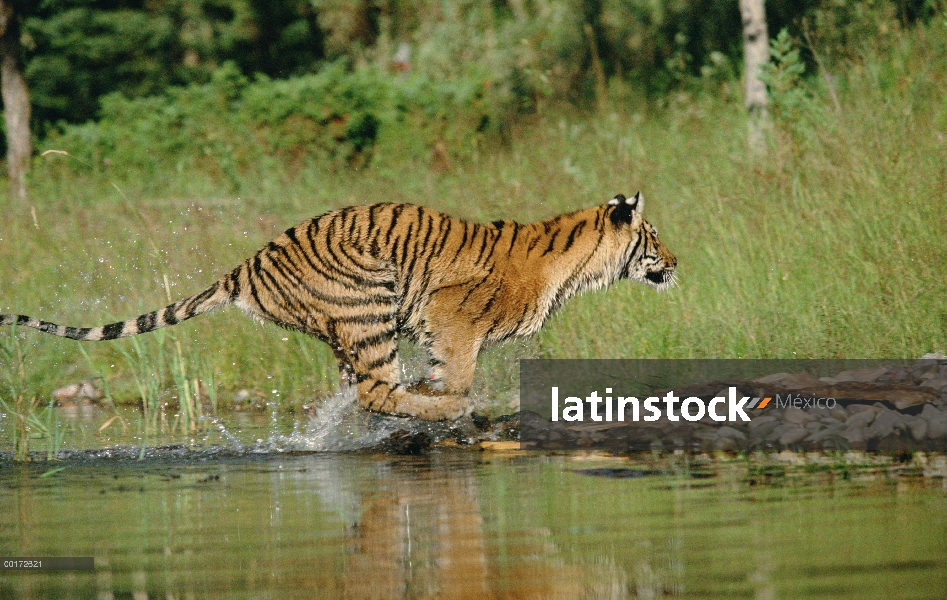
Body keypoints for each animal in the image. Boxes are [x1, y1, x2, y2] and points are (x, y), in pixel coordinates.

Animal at [1, 193, 680, 422]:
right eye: (653, 237)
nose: (676, 262)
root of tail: (245, 266)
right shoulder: (452, 315)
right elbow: (457, 375)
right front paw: (458, 402)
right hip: (368, 300)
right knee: (375, 390)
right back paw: (439, 409)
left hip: (345, 326)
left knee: (363, 387)